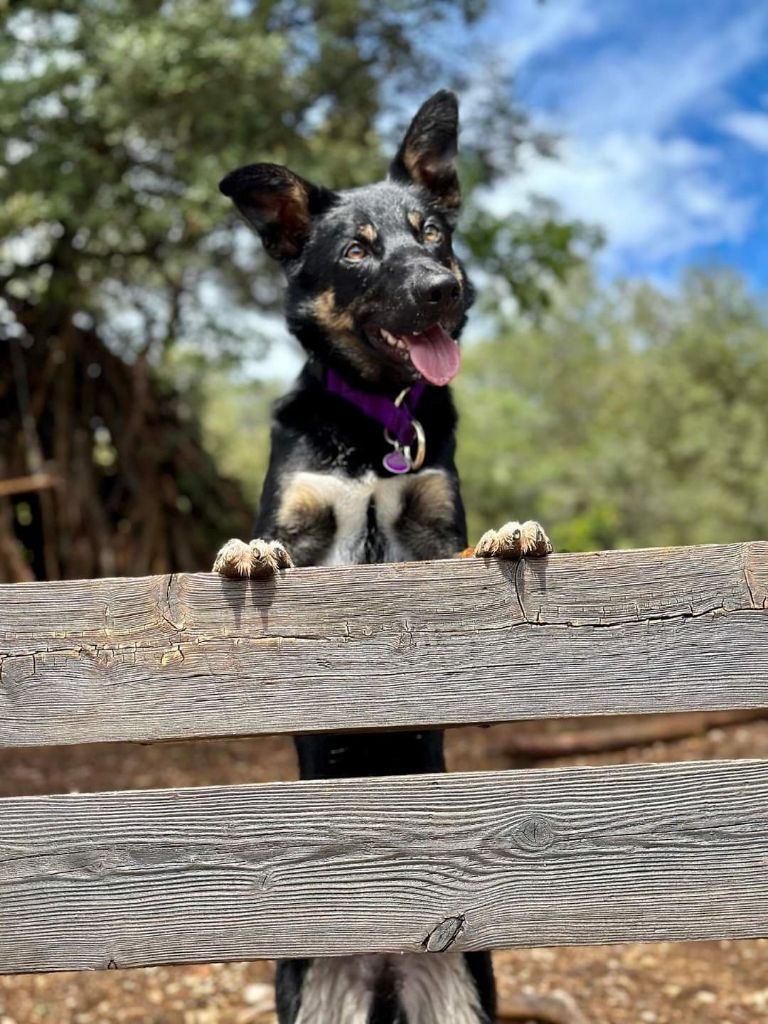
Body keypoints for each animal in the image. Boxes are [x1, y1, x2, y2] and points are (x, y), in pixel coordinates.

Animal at [214, 90, 552, 1024]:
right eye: (359, 250)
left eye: (430, 232)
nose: (442, 287)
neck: (375, 422)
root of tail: (384, 965)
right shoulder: (308, 527)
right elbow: (275, 544)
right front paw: (246, 551)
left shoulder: (428, 534)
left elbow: (465, 543)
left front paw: (512, 532)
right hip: (315, 998)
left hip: (460, 993)